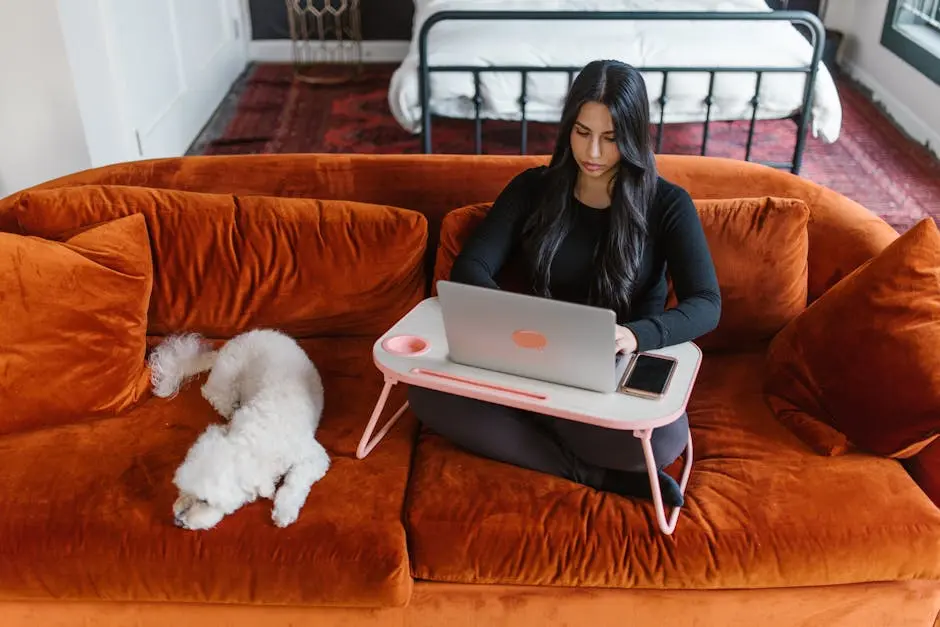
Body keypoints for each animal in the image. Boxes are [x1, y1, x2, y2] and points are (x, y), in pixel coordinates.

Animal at [150, 332, 330, 532]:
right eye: (182, 489)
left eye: (205, 502)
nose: (177, 520)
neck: (255, 438)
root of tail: (231, 343)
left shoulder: (314, 456)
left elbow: (296, 481)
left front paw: (284, 510)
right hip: (226, 377)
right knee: (212, 393)